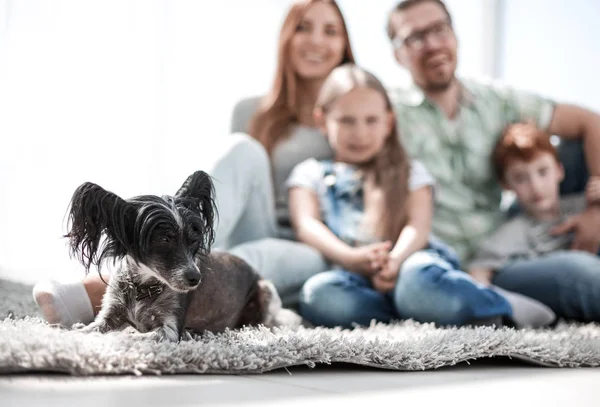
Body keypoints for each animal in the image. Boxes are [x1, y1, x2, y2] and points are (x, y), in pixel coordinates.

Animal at [67, 171, 298, 342]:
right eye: (164, 240)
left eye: (193, 240)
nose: (196, 279)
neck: (143, 287)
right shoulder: (110, 313)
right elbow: (91, 328)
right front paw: (72, 334)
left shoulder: (169, 328)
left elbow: (139, 336)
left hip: (266, 292)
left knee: (266, 322)